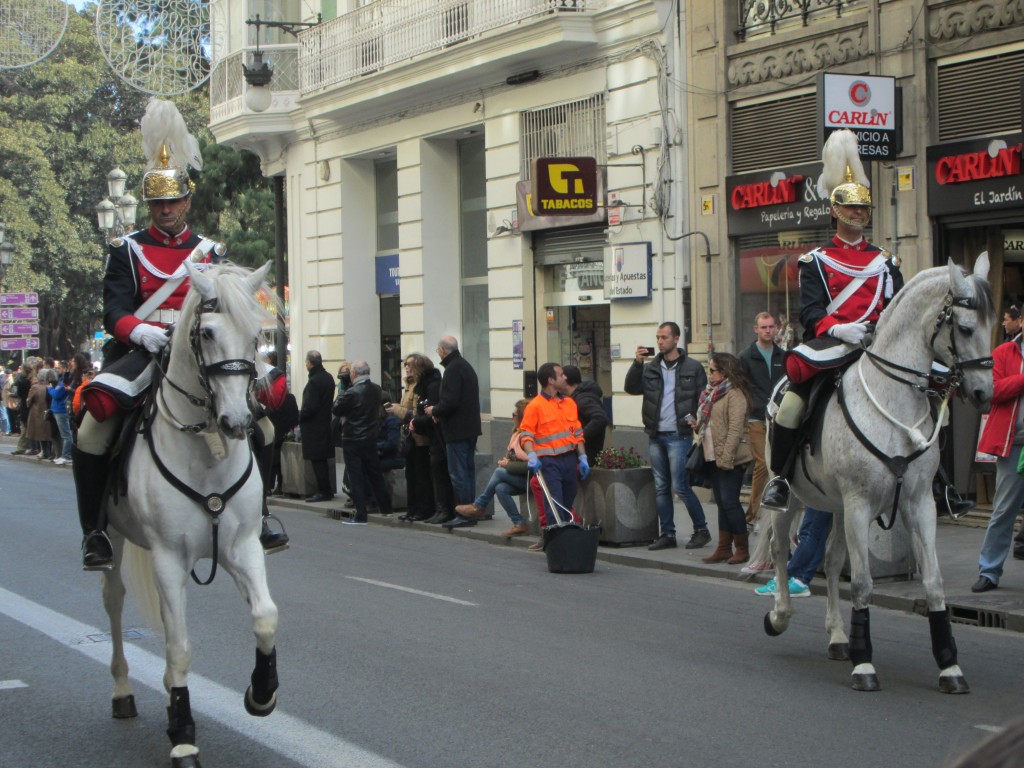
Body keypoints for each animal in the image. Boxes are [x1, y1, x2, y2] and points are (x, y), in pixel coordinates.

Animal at [99, 262, 278, 765]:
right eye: (209, 333)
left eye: (257, 336)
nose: (237, 422)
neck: (206, 452)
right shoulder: (168, 559)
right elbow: (179, 647)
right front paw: (182, 735)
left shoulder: (243, 547)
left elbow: (265, 617)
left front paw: (261, 694)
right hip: (116, 541)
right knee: (115, 603)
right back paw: (123, 691)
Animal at [770, 256, 991, 696]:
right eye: (964, 328)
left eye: (992, 323)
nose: (984, 394)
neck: (893, 401)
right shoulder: (860, 503)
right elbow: (863, 583)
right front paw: (864, 663)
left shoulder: (918, 503)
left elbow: (933, 581)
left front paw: (949, 665)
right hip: (795, 499)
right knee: (780, 549)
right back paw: (780, 614)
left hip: (835, 505)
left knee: (832, 560)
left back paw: (838, 636)